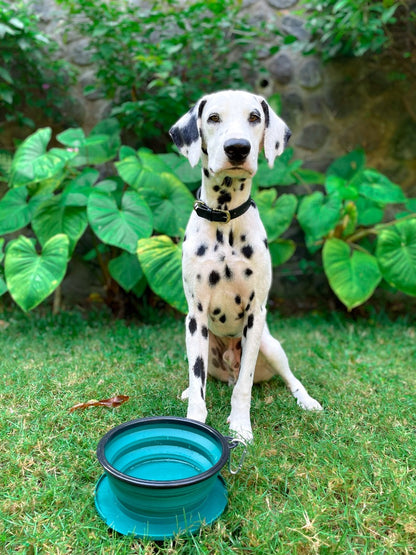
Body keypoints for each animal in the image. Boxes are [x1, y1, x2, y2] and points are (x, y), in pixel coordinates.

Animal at [169, 88, 322, 444]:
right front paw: (195, 421)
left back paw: (306, 399)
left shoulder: (255, 315)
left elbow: (244, 387)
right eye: (213, 117)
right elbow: (198, 385)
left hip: (271, 344)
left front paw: (240, 426)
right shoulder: (195, 317)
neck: (225, 222)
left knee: (289, 378)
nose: (237, 148)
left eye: (254, 116)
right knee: (201, 378)